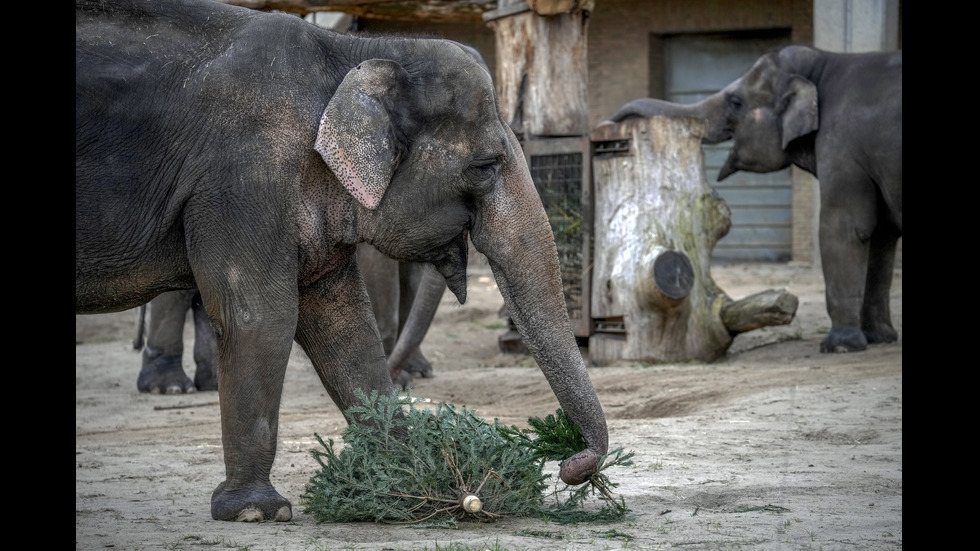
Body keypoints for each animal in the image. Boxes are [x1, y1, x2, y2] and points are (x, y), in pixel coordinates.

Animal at [76, 0, 608, 524]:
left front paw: (413, 482)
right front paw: (257, 511)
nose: (571, 465)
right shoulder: (245, 175)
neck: (351, 51)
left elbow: (345, 324)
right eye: (485, 165)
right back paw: (170, 392)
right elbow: (260, 315)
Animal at [604, 43, 904, 354]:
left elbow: (844, 228)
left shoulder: (841, 148)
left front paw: (839, 347)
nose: (607, 126)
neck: (823, 62)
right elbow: (882, 235)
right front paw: (879, 338)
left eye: (736, 102)